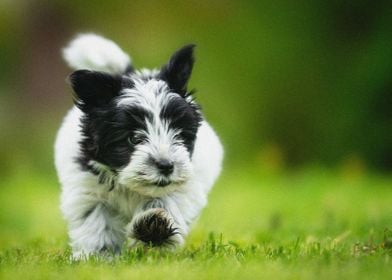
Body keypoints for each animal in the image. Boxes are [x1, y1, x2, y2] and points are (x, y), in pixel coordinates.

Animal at [54, 33, 224, 258]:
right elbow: (97, 220)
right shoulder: (88, 189)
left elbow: (168, 200)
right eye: (134, 138)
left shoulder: (188, 184)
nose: (166, 165)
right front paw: (99, 255)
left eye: (178, 133)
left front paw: (154, 226)